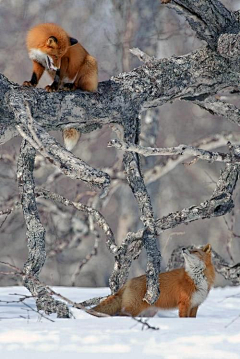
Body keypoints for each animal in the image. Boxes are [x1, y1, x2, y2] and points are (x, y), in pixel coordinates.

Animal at [22, 22, 97, 150]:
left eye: (60, 56)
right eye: (55, 56)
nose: (56, 67)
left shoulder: (66, 59)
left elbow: (58, 76)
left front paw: (53, 87)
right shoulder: (37, 61)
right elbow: (35, 76)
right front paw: (31, 83)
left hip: (89, 62)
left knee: (79, 84)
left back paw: (70, 86)